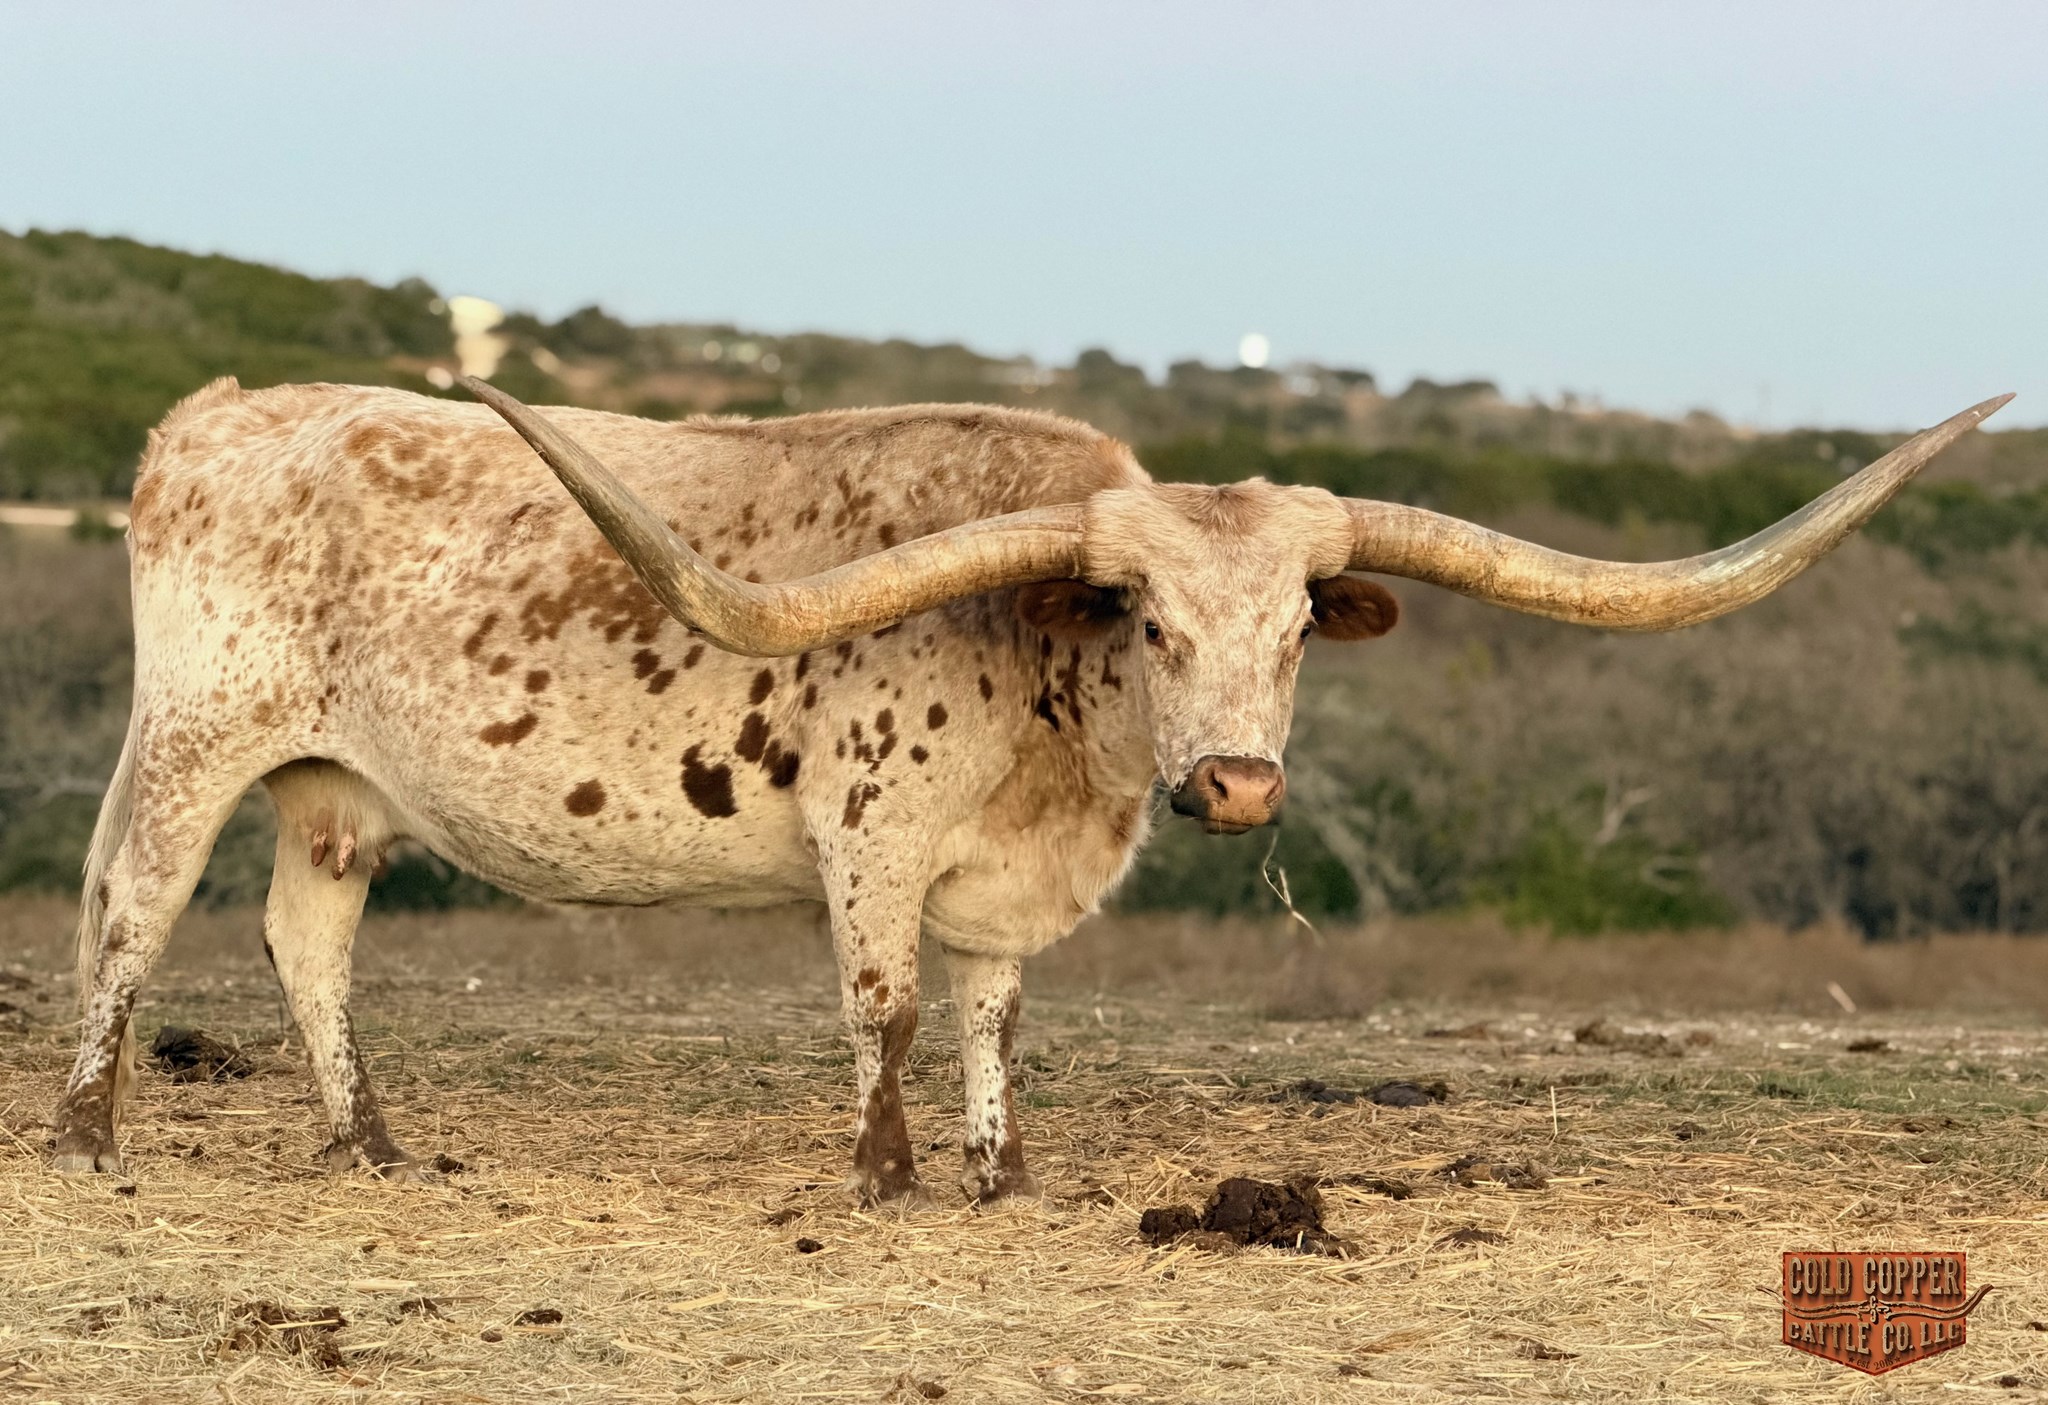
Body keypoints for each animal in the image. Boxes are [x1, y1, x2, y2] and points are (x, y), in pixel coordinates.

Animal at [52, 374, 2007, 1204]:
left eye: (1298, 627)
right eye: (1143, 615)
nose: (1235, 785)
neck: (1054, 742)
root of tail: (213, 412)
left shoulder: (1008, 882)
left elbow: (995, 1013)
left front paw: (1000, 1171)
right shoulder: (873, 840)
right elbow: (892, 1007)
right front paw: (887, 1175)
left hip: (335, 784)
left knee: (307, 935)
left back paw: (366, 1142)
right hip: (201, 736)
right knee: (130, 913)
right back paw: (87, 1135)